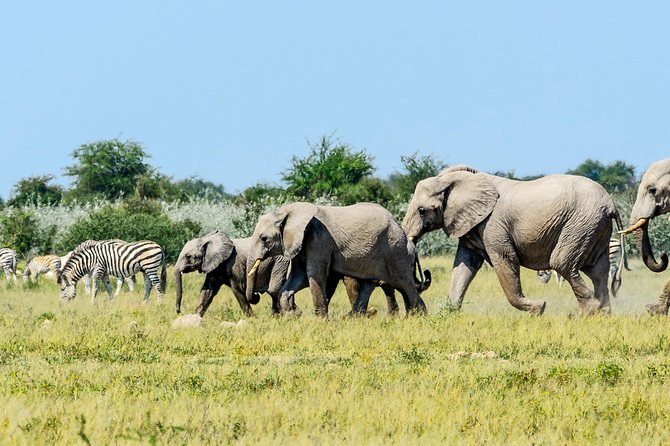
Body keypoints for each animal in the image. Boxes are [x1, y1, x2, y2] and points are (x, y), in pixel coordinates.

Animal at [246, 202, 429, 318]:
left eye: (264, 238)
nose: (255, 296)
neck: (287, 211)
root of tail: (397, 223)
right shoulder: (300, 244)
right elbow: (298, 278)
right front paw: (291, 315)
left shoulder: (318, 241)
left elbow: (314, 275)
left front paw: (321, 322)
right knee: (373, 284)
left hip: (394, 249)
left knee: (405, 284)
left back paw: (420, 319)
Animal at [402, 165, 624, 316]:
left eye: (422, 211)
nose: (424, 273)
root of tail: (611, 203)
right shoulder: (472, 227)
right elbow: (465, 265)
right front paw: (449, 313)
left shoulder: (493, 225)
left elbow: (505, 261)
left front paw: (539, 309)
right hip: (594, 227)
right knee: (598, 271)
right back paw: (603, 313)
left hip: (581, 223)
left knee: (563, 263)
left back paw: (586, 313)